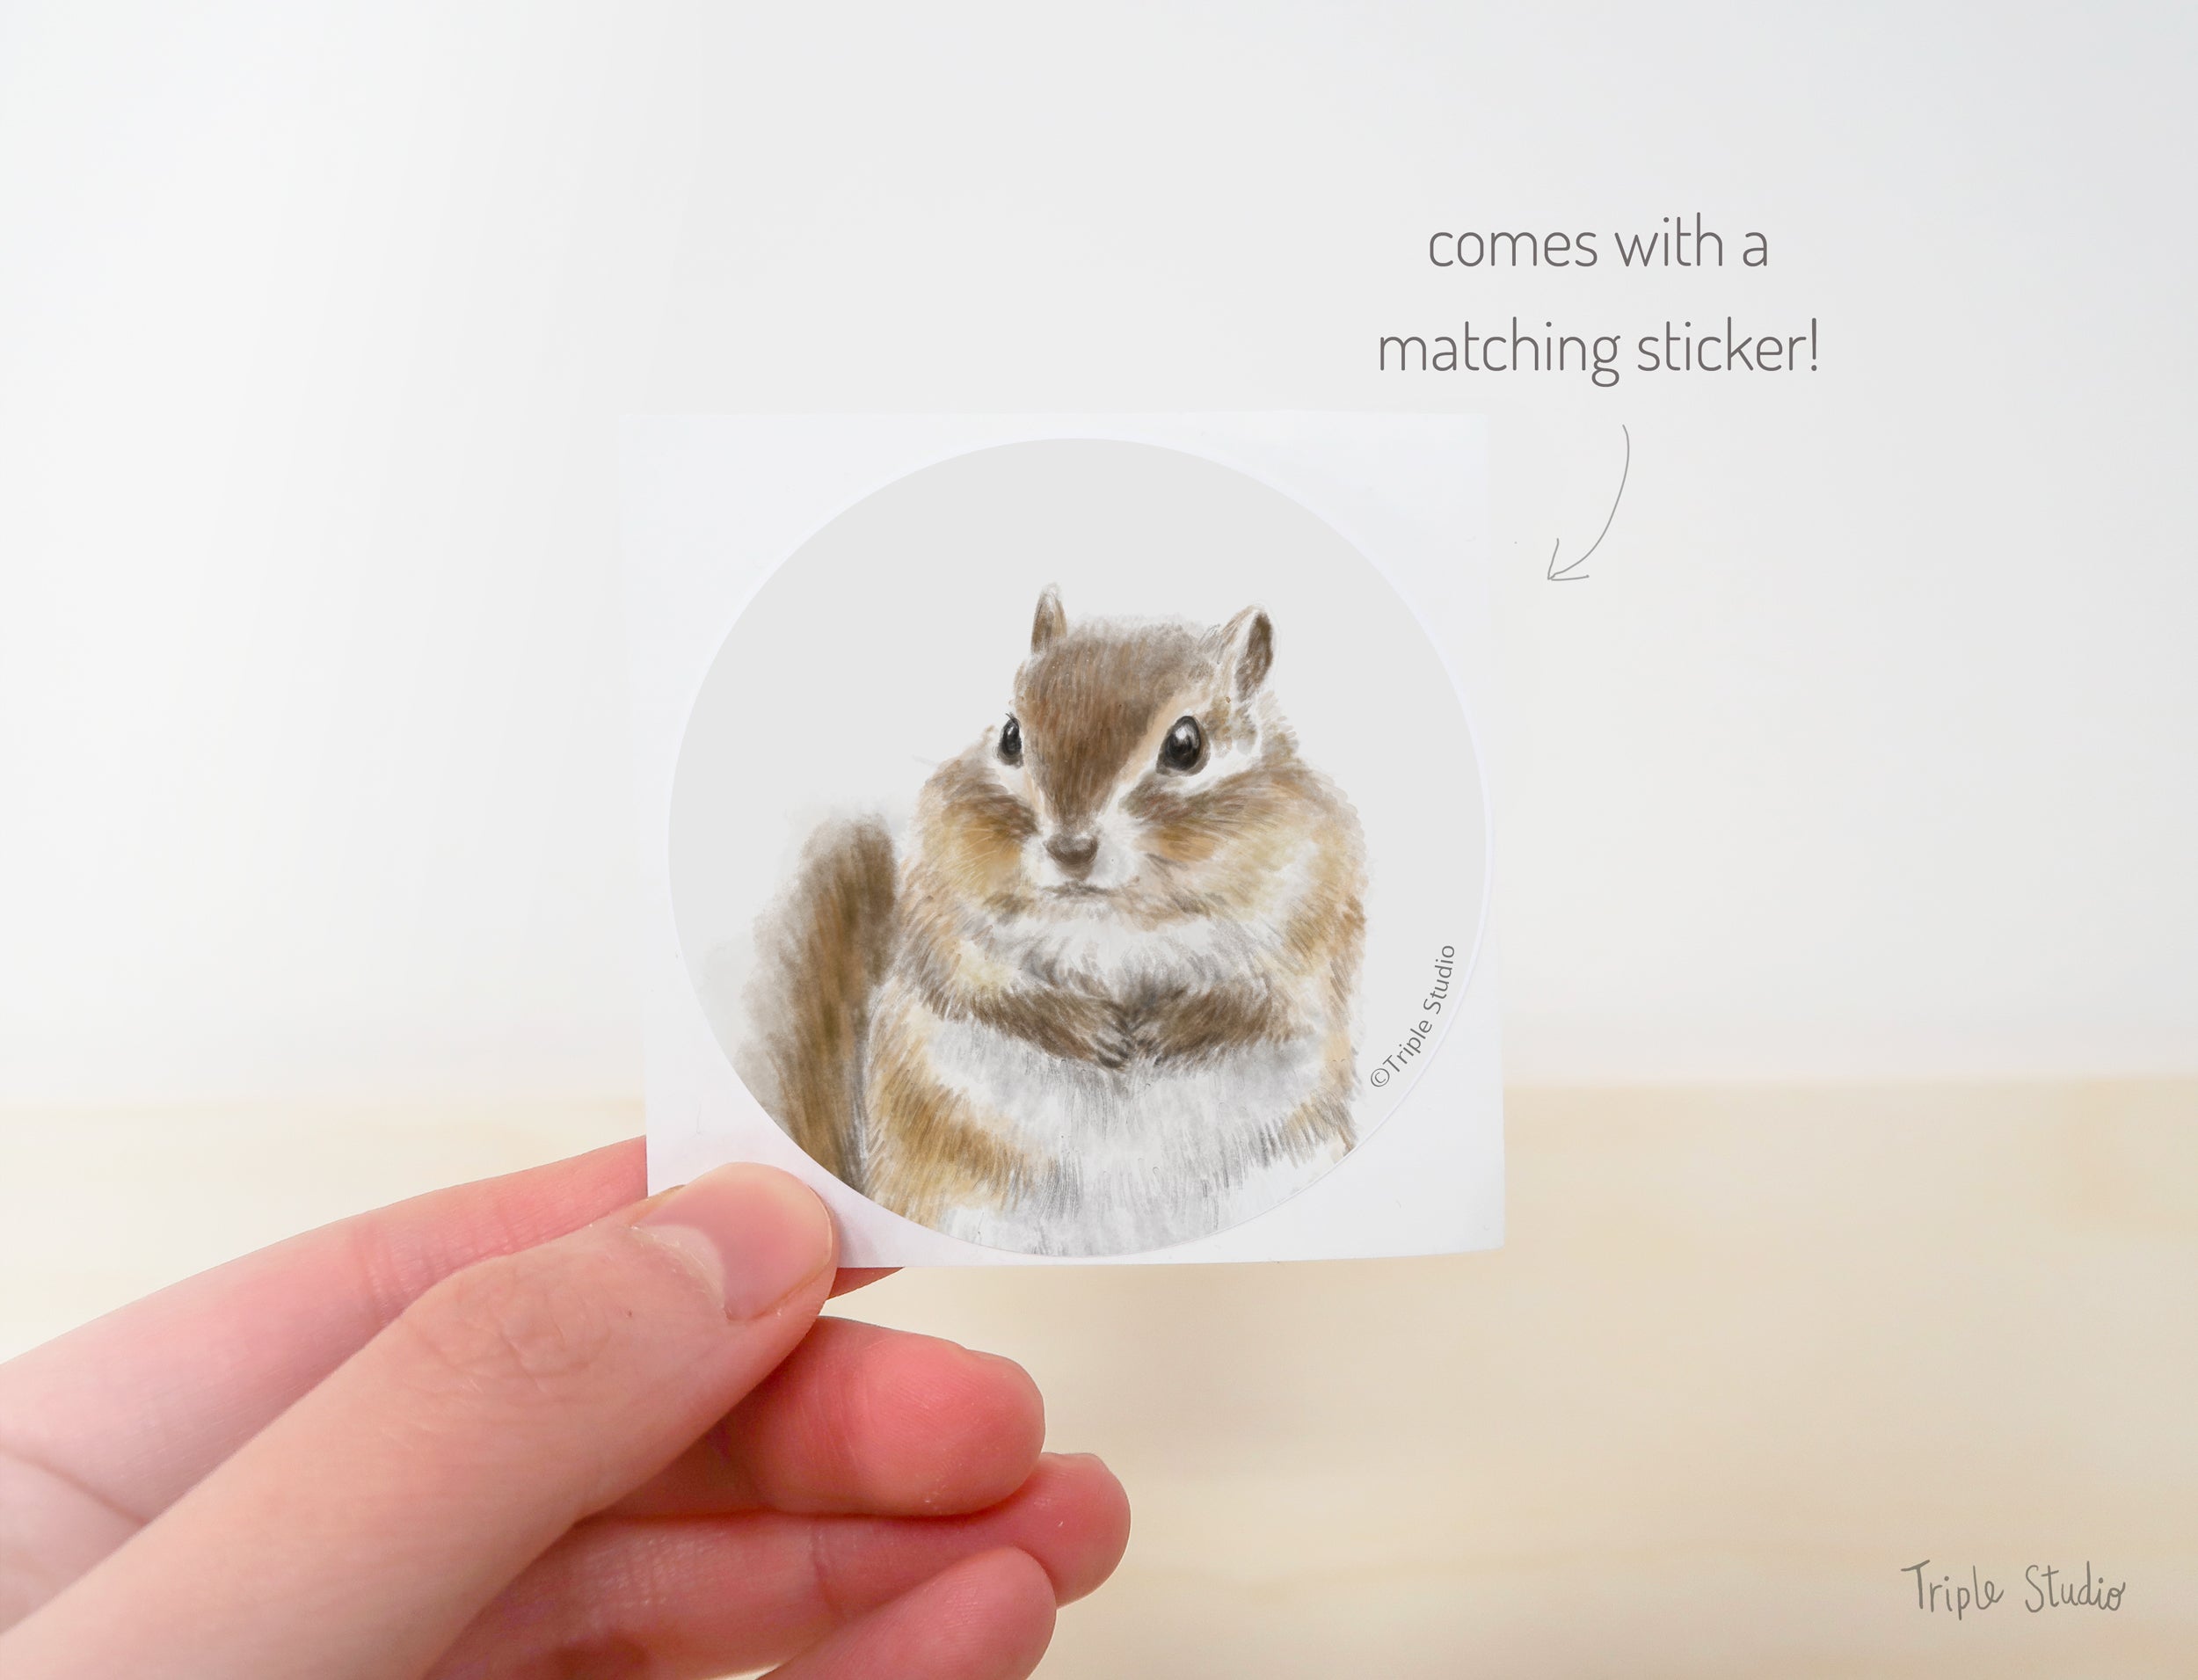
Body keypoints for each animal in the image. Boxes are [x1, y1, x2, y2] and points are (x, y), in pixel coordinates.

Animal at [737, 586, 1366, 1255]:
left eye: (1187, 745)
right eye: (1011, 736)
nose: (1071, 849)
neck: (1114, 913)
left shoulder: (1312, 919)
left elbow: (1265, 1004)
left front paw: (1168, 1028)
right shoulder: (943, 912)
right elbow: (982, 990)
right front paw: (1086, 1029)